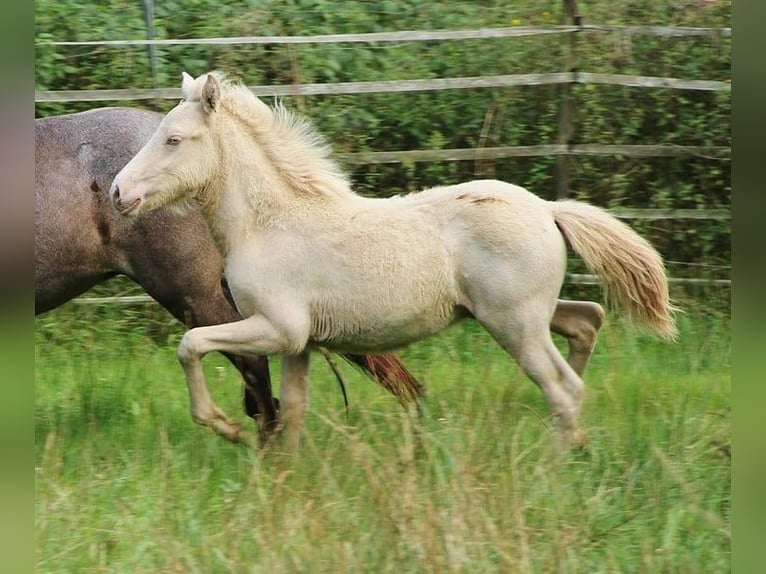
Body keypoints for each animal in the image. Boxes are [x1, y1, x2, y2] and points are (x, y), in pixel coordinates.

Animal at [109, 71, 680, 450]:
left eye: (173, 139)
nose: (117, 192)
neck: (269, 223)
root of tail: (547, 208)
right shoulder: (299, 343)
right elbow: (293, 409)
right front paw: (285, 482)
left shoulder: (276, 327)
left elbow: (190, 344)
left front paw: (222, 424)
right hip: (521, 315)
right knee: (587, 321)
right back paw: (571, 439)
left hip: (514, 324)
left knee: (564, 386)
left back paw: (555, 462)